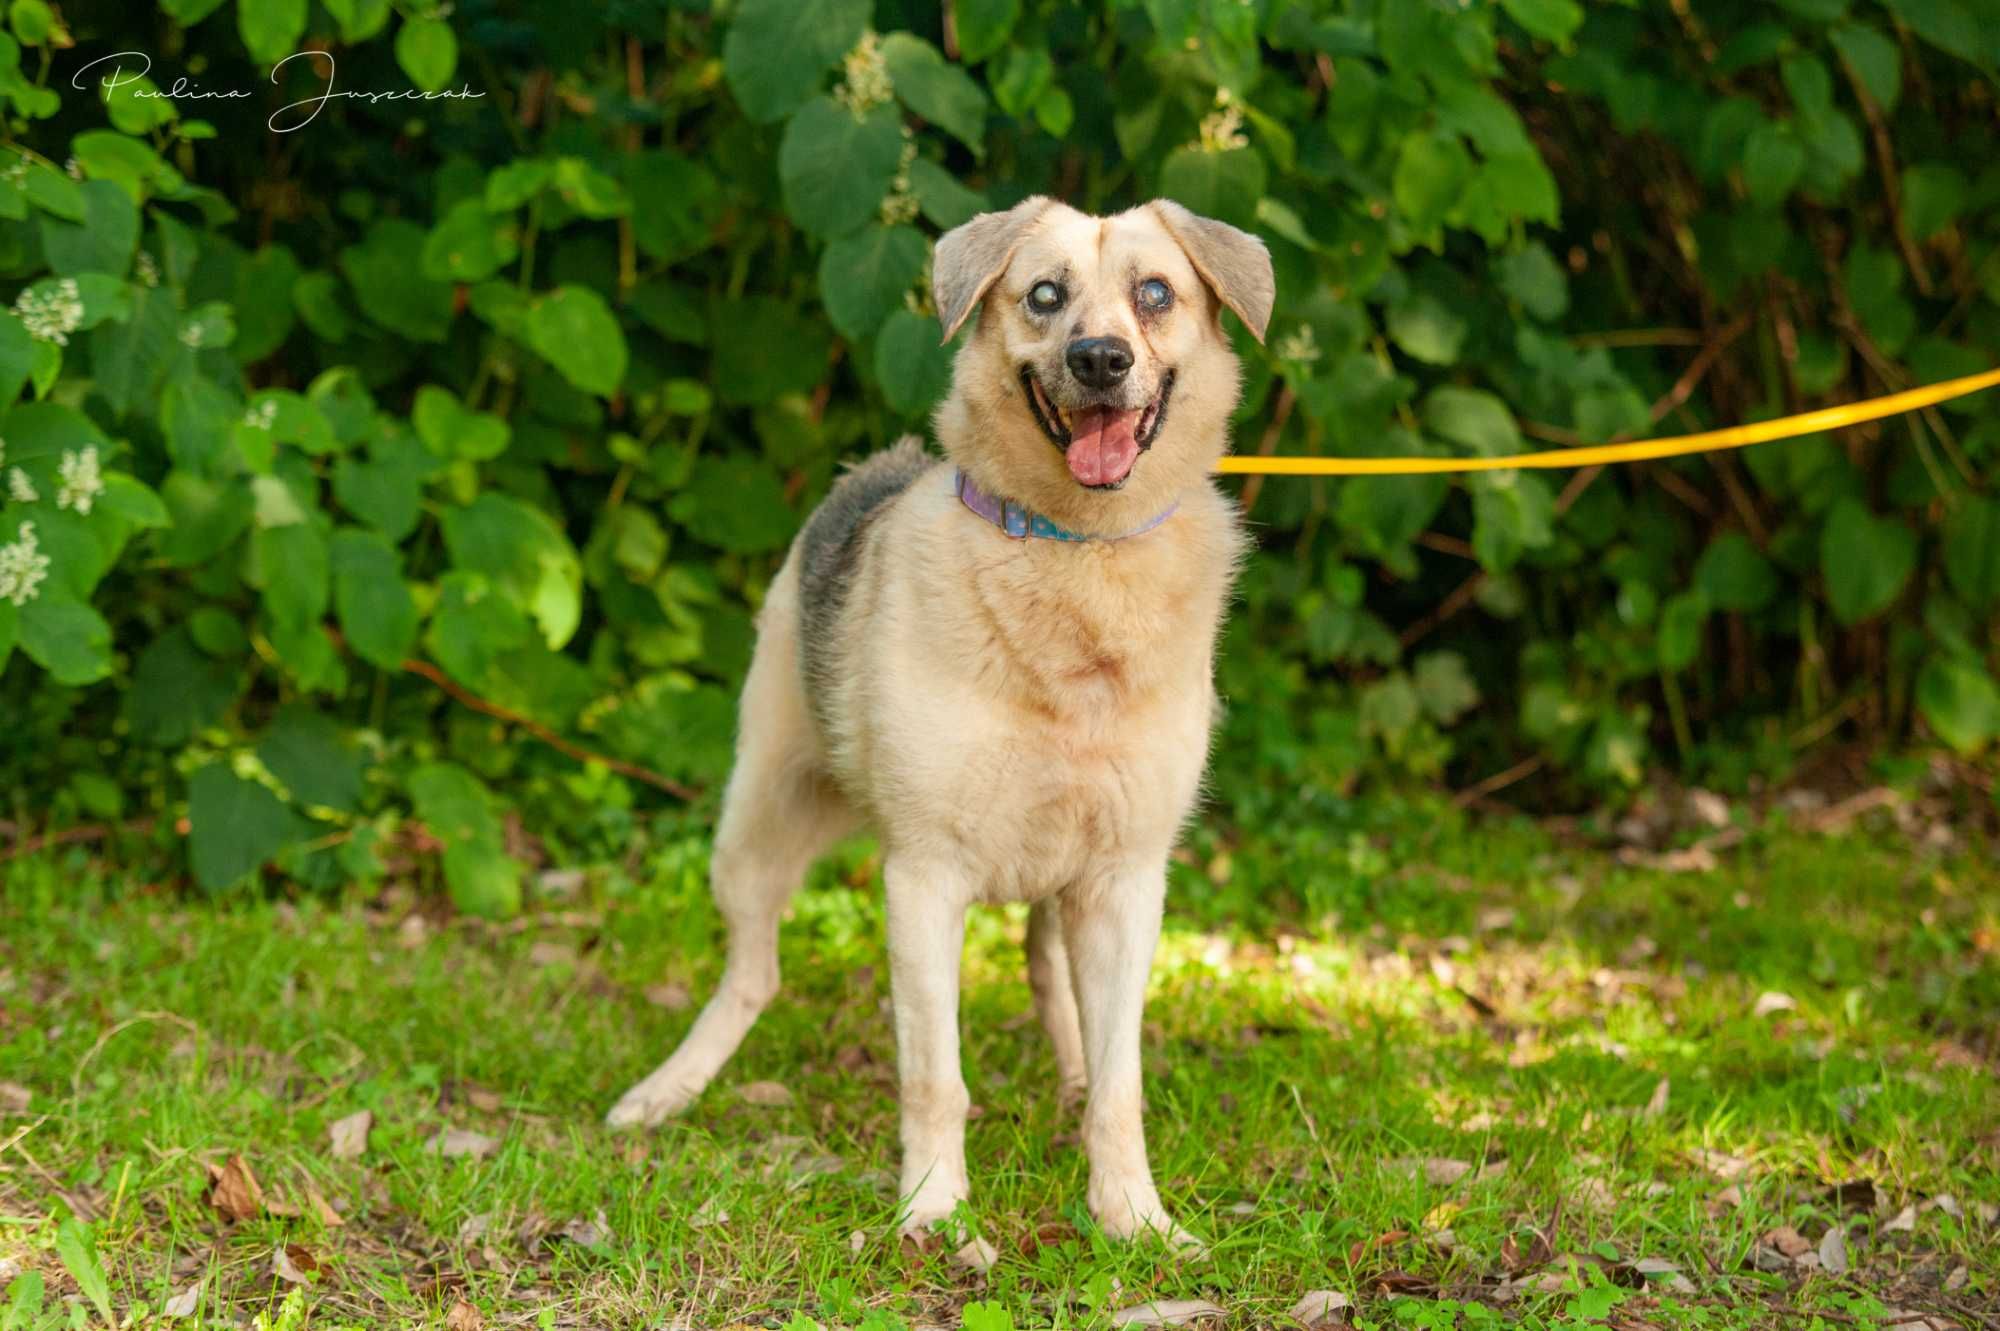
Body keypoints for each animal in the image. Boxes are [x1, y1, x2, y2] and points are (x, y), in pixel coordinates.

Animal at [600, 194, 1272, 1255]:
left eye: (1156, 293)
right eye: (1044, 295)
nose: (1098, 359)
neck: (1073, 555)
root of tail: (874, 465)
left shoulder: (1125, 883)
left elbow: (1120, 1085)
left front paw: (1132, 1217)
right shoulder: (923, 878)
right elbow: (934, 1077)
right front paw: (933, 1208)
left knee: (1053, 986)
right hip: (755, 826)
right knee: (751, 974)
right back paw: (670, 1090)